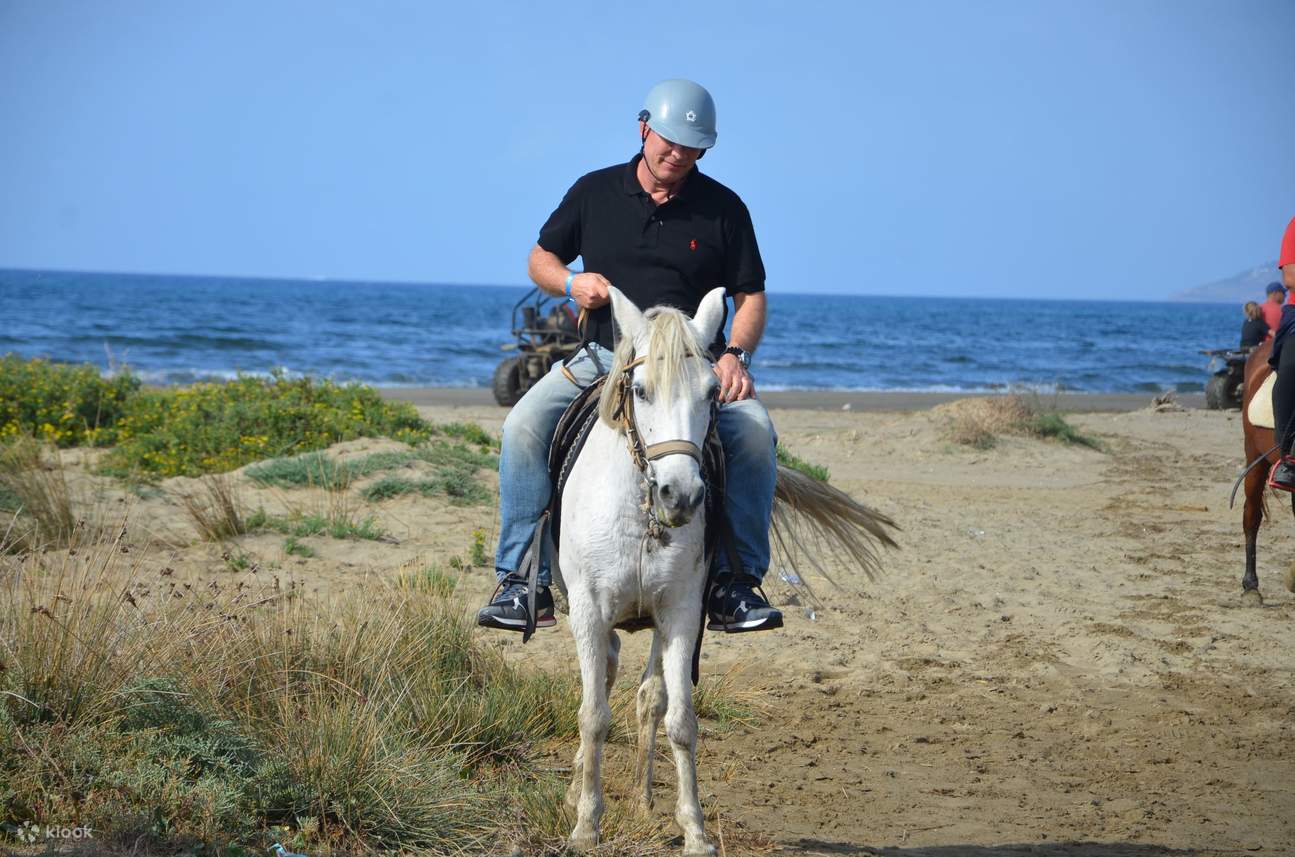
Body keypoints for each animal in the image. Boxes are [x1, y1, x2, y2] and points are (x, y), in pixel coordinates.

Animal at [554, 286, 897, 853]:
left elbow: (679, 720)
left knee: (648, 698)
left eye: (714, 391)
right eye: (641, 390)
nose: (680, 495)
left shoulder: (681, 614)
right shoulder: (588, 608)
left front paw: (693, 829)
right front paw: (585, 825)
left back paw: (644, 801)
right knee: (606, 681)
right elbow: (593, 715)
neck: (641, 515)